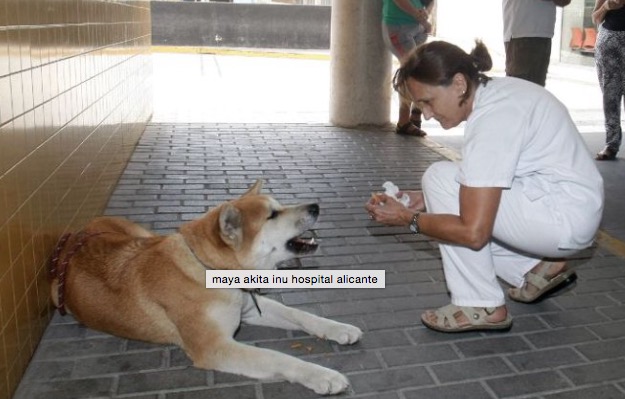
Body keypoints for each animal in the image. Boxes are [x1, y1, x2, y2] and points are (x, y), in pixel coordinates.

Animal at [51, 181, 364, 396]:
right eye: (272, 215)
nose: (316, 206)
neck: (210, 269)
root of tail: (77, 234)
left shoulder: (249, 308)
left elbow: (301, 315)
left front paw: (338, 328)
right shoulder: (216, 347)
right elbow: (278, 357)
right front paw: (321, 374)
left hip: (143, 235)